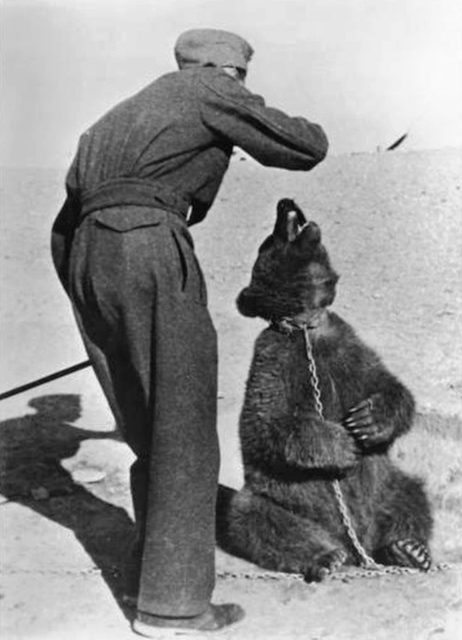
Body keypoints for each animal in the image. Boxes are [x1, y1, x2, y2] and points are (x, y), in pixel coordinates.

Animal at [217, 199, 434, 580]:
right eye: (269, 238)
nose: (285, 203)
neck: (307, 323)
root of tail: (358, 545)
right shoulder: (276, 357)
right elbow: (265, 421)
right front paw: (342, 443)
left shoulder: (348, 347)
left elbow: (392, 387)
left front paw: (367, 421)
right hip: (284, 501)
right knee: (255, 516)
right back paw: (325, 556)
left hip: (386, 485)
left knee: (411, 492)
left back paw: (409, 549)